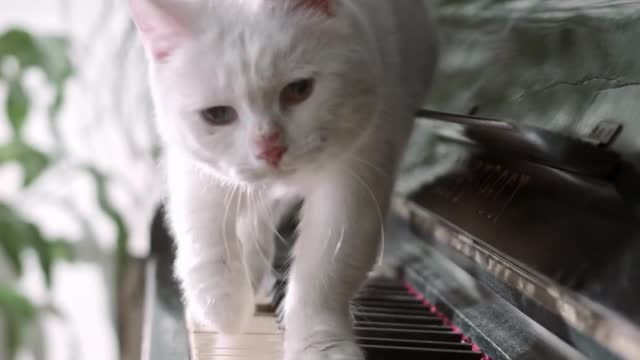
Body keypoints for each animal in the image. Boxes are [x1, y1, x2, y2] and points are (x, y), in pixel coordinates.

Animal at [130, 0, 440, 358]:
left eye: (299, 89)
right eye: (217, 115)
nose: (270, 148)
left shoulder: (357, 175)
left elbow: (326, 269)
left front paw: (320, 344)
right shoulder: (195, 167)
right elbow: (203, 234)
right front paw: (222, 307)